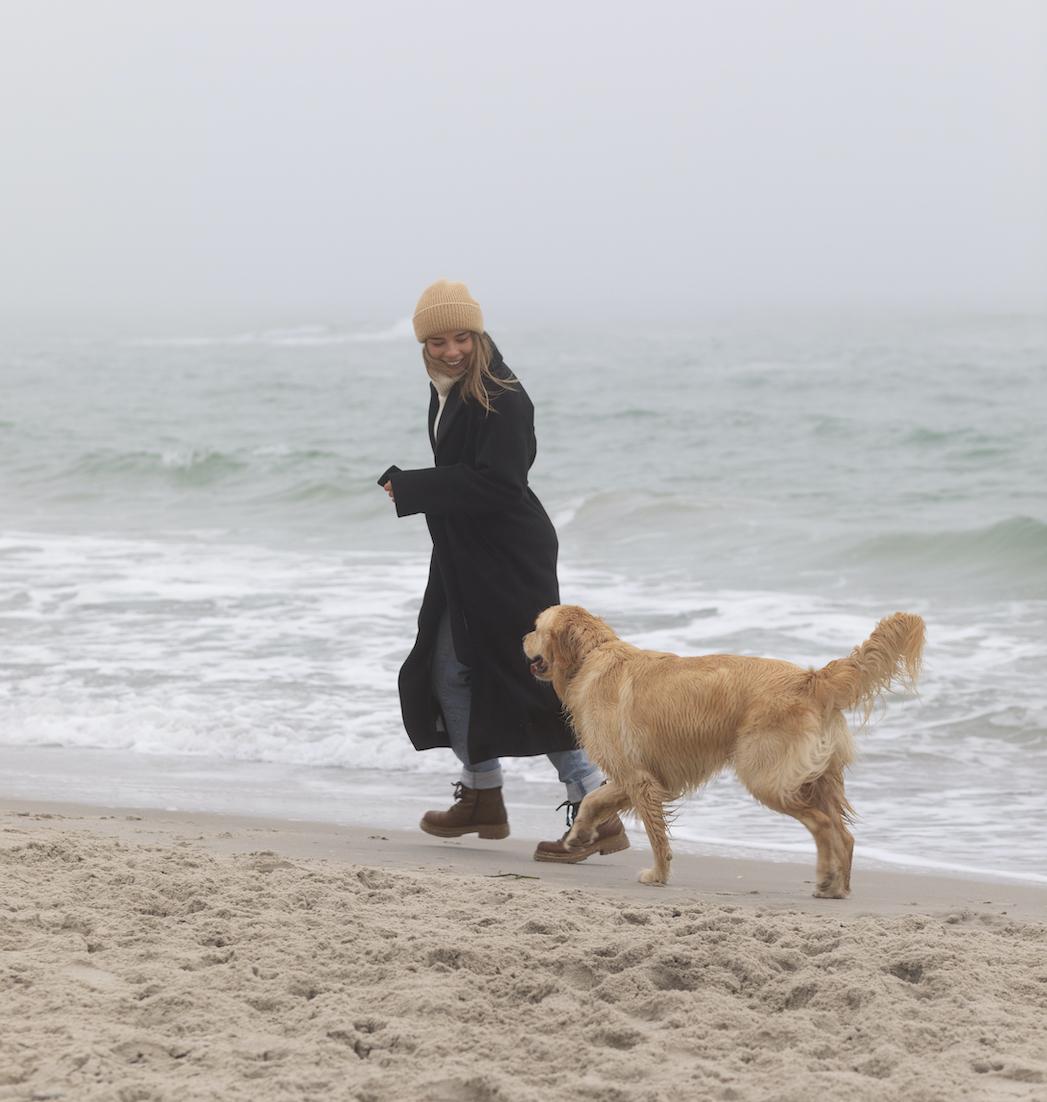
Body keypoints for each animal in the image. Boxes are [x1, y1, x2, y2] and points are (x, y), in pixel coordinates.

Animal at [524, 608, 925, 899]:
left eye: (537, 626)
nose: (521, 637)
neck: (590, 656)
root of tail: (811, 680)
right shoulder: (639, 775)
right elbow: (594, 799)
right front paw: (578, 836)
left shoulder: (639, 779)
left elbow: (656, 837)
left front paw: (658, 874)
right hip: (819, 777)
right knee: (846, 835)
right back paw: (838, 887)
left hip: (766, 777)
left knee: (824, 825)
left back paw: (827, 880)